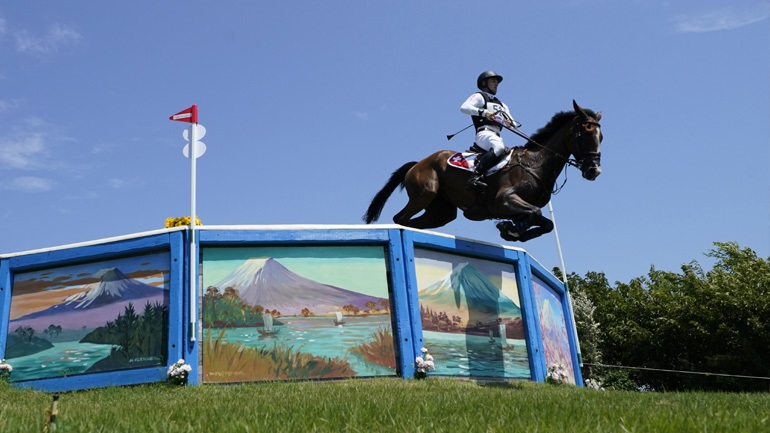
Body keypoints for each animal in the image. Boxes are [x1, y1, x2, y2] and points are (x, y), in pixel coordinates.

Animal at [364, 99, 604, 241]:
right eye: (584, 133)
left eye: (600, 137)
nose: (594, 170)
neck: (535, 164)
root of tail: (417, 163)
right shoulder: (503, 200)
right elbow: (536, 213)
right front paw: (511, 229)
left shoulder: (518, 208)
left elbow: (545, 223)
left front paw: (511, 230)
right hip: (425, 193)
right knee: (401, 218)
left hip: (441, 212)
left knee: (416, 222)